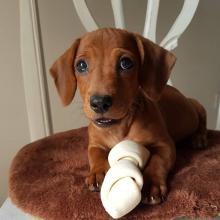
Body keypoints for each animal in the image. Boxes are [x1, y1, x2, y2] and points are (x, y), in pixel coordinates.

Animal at [49, 27, 206, 205]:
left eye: (125, 63)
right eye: (81, 65)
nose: (99, 102)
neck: (118, 127)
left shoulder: (165, 145)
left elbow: (157, 161)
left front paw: (151, 184)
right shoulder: (95, 145)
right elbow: (95, 156)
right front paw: (97, 173)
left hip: (195, 105)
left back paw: (199, 138)